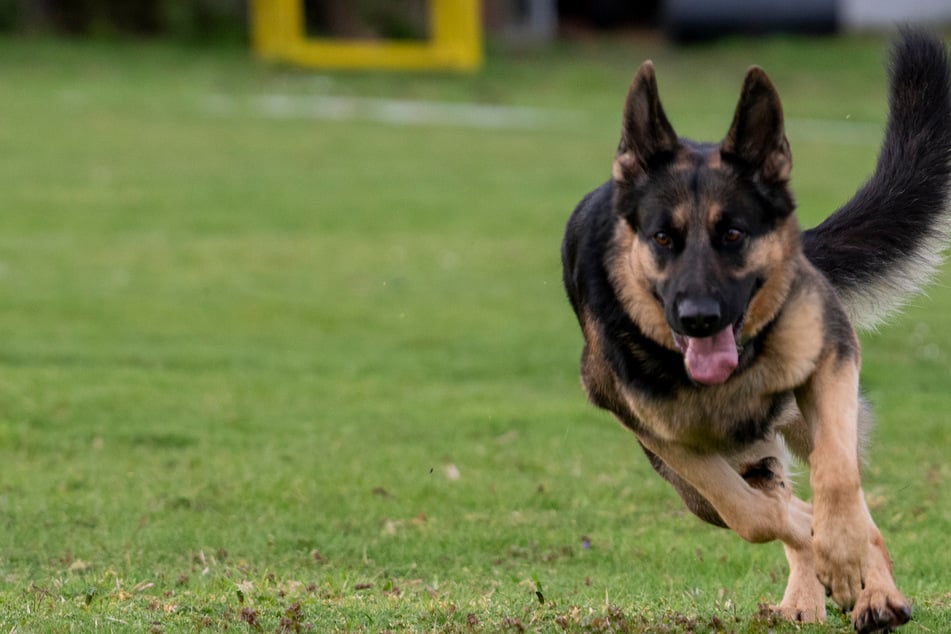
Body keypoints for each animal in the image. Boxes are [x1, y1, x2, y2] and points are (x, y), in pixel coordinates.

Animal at [560, 28, 948, 628]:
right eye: (663, 238)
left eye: (734, 234)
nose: (699, 317)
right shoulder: (670, 442)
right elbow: (756, 516)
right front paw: (815, 542)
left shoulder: (832, 363)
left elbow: (837, 481)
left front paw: (845, 555)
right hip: (707, 478)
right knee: (773, 499)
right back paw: (808, 594)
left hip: (805, 420)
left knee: (854, 502)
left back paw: (874, 593)